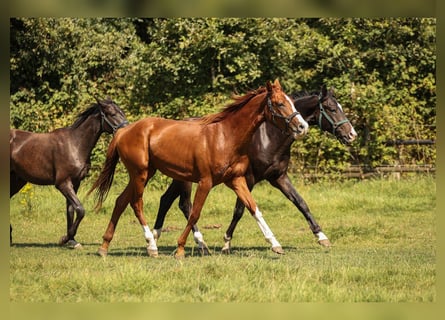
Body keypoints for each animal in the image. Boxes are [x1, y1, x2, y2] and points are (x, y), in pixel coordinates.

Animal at [10, 97, 128, 248]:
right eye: (112, 114)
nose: (127, 130)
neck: (74, 144)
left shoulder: (75, 183)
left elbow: (71, 210)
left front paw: (72, 240)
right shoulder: (63, 184)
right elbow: (80, 209)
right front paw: (65, 238)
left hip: (17, 181)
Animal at [88, 80, 306, 260]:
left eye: (292, 102)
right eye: (279, 103)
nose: (303, 127)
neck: (226, 137)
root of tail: (123, 131)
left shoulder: (237, 180)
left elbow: (254, 209)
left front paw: (275, 244)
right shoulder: (205, 182)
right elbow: (195, 213)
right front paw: (180, 249)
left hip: (144, 173)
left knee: (121, 201)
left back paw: (104, 246)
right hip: (140, 174)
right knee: (136, 203)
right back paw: (151, 245)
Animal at [151, 85, 356, 255]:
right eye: (331, 108)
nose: (352, 134)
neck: (269, 137)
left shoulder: (279, 177)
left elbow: (301, 203)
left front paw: (322, 237)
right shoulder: (248, 178)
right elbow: (240, 210)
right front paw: (226, 242)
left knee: (167, 200)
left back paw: (162, 238)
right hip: (185, 179)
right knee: (184, 204)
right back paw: (193, 243)